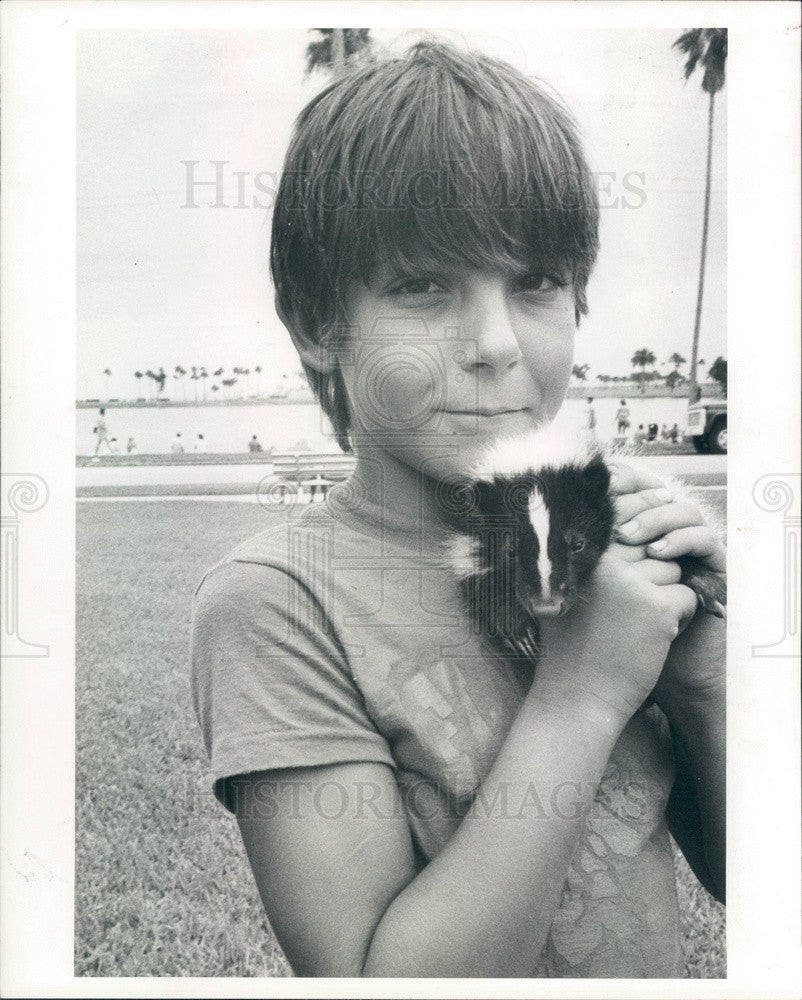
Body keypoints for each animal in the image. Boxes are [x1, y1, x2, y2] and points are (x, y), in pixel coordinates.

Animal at [440, 426, 728, 660]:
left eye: (578, 544)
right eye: (510, 550)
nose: (547, 605)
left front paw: (708, 584)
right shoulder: (470, 532)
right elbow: (475, 570)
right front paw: (516, 629)